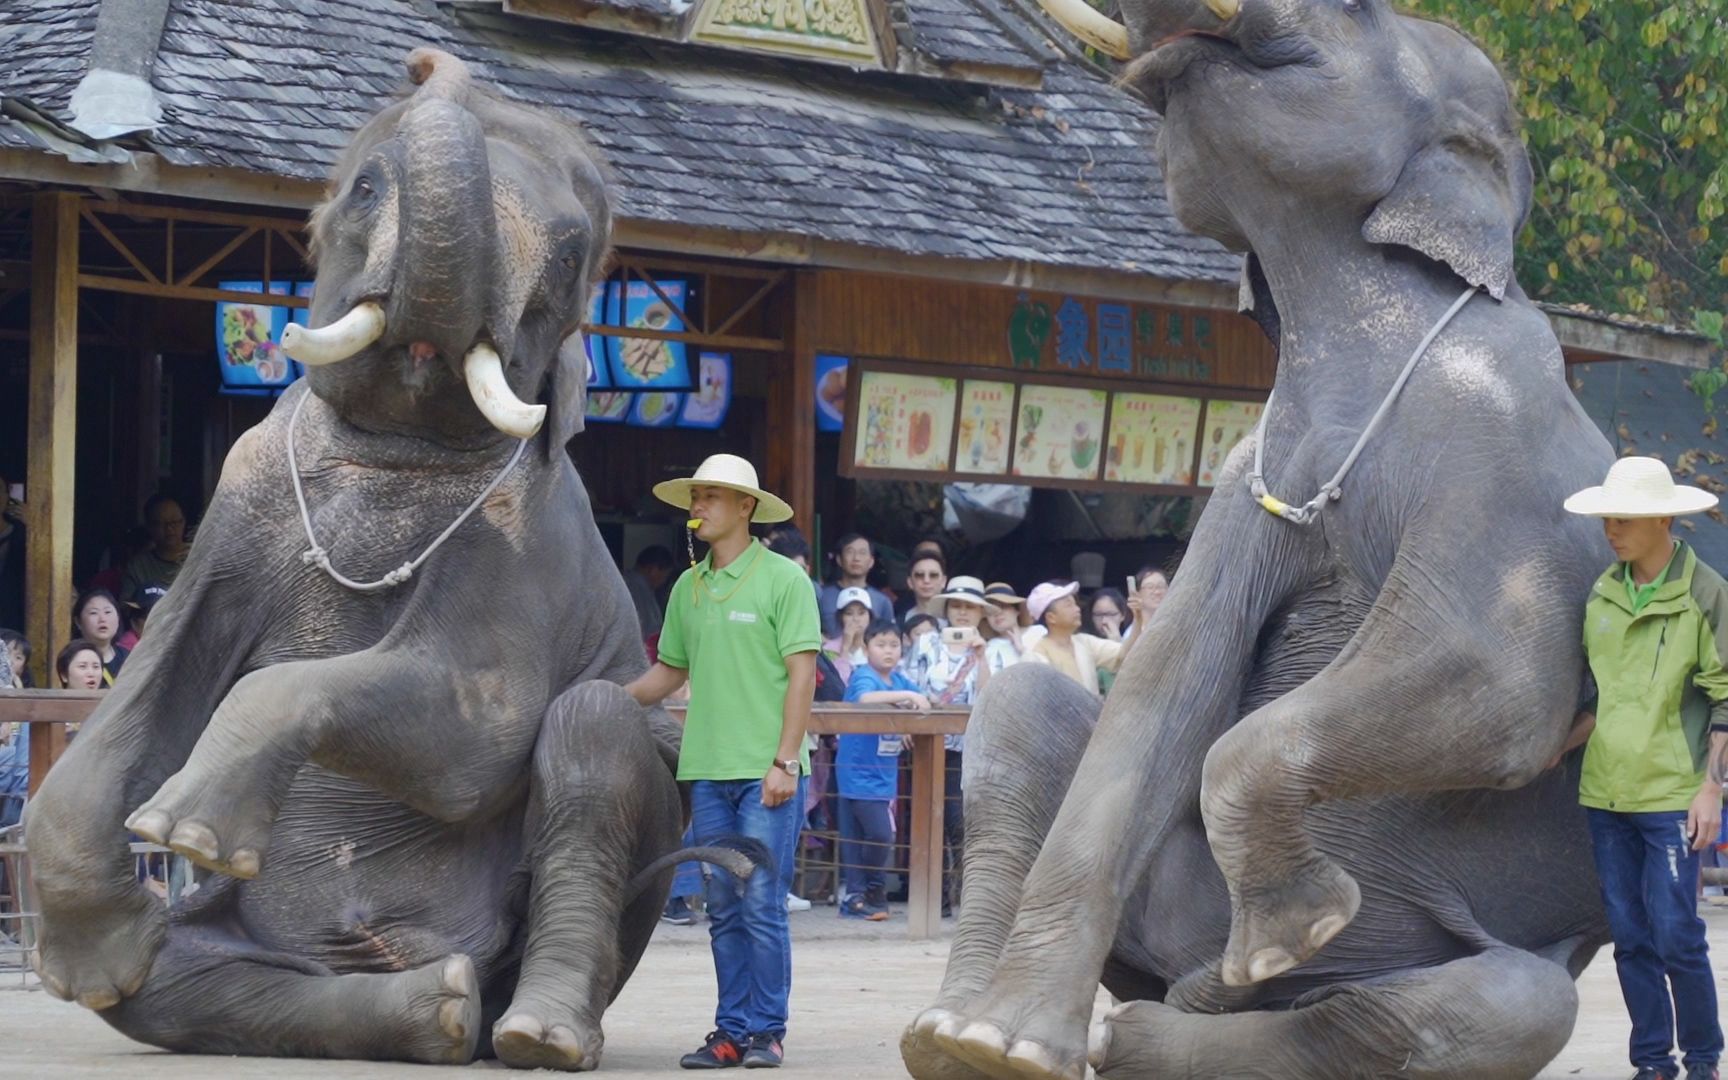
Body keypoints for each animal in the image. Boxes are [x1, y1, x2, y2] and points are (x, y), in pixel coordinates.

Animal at [23, 48, 729, 1071]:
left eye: (569, 256)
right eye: (362, 188)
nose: (433, 61)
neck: (396, 446)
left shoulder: (528, 535)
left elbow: (481, 729)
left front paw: (186, 831)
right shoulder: (234, 513)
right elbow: (152, 684)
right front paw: (100, 949)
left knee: (591, 727)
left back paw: (535, 1032)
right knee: (174, 990)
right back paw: (430, 1010)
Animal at [905, 2, 1617, 1078]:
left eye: (1362, 10)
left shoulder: (1506, 449)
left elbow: (1497, 681)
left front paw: (1302, 922)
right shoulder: (1249, 468)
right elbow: (1164, 684)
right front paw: (1005, 1047)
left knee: (1502, 1004)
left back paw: (1208, 1000)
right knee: (1026, 704)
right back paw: (958, 1039)